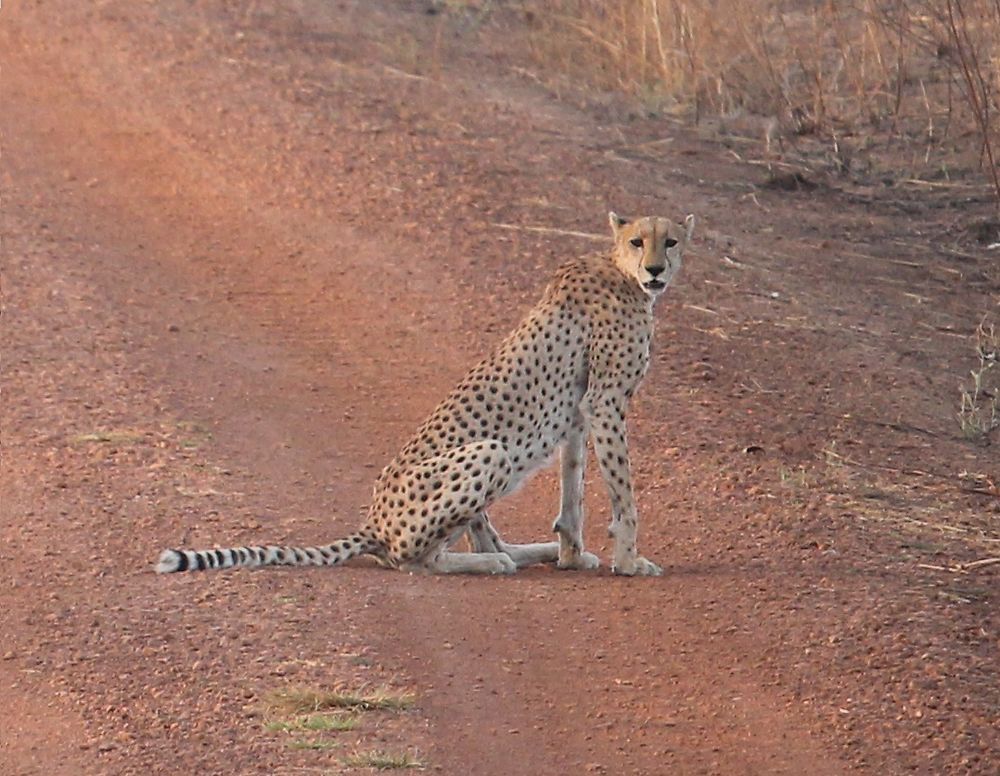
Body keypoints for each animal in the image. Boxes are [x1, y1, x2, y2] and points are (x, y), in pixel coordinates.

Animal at [156, 212, 696, 576]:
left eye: (670, 242)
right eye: (637, 241)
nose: (655, 270)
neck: (621, 272)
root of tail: (373, 522)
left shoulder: (582, 412)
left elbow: (574, 489)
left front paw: (572, 553)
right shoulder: (606, 402)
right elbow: (622, 492)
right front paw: (629, 561)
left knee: (477, 536)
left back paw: (524, 552)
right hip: (489, 453)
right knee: (416, 560)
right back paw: (490, 564)